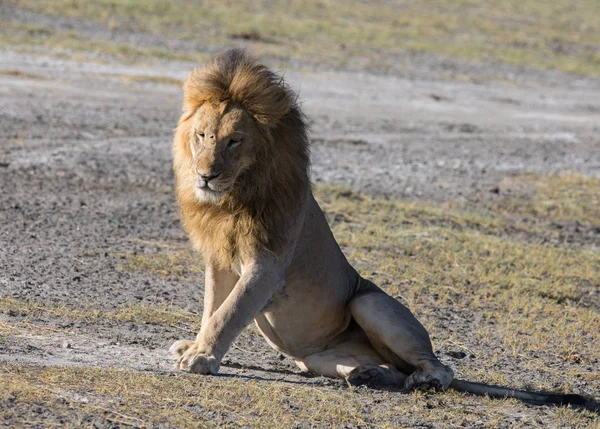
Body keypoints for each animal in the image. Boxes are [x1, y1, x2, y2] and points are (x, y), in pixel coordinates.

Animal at [169, 48, 592, 406]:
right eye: (203, 136)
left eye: (234, 141)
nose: (205, 176)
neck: (232, 199)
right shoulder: (219, 260)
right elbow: (212, 307)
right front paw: (195, 347)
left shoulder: (267, 266)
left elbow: (229, 313)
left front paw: (201, 357)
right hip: (315, 359)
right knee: (383, 368)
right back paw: (367, 373)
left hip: (366, 301)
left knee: (443, 367)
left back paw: (423, 380)